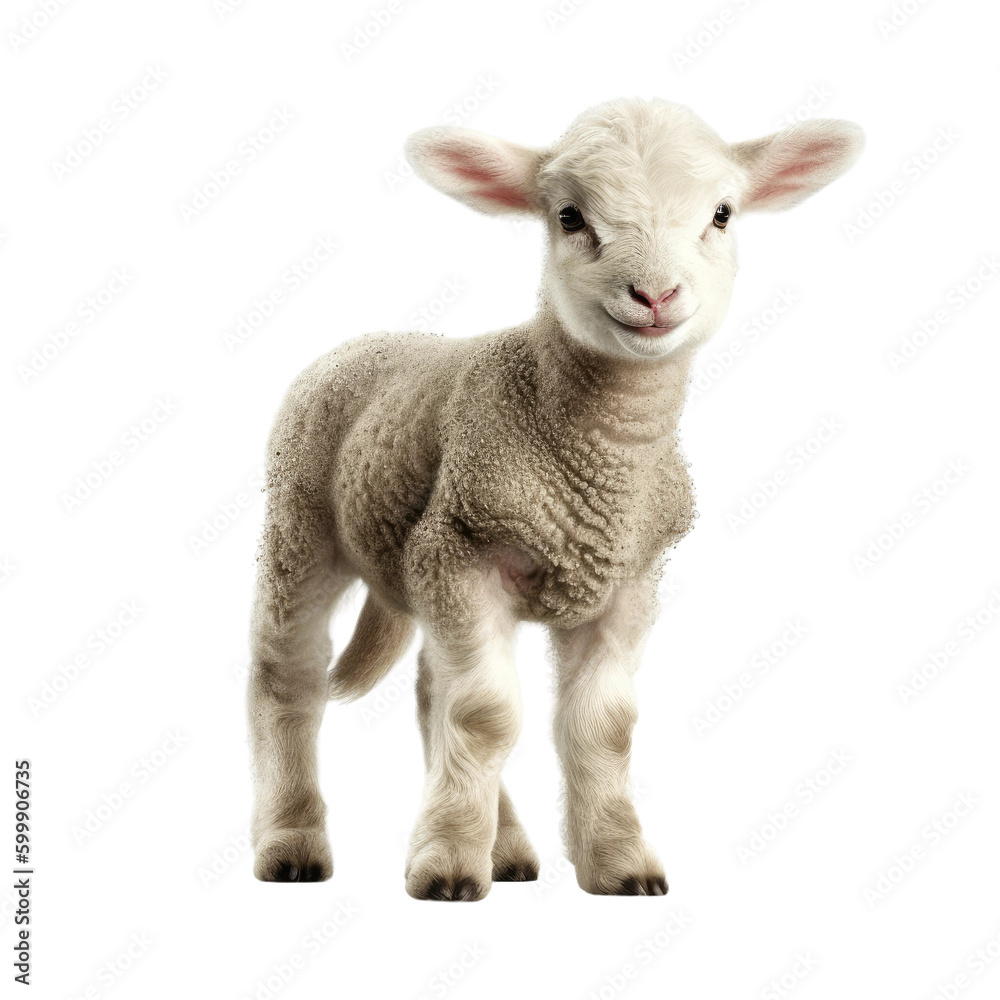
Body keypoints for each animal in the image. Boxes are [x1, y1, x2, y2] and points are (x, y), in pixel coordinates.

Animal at [247, 97, 863, 899]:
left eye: (722, 214)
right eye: (570, 217)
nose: (656, 295)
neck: (598, 457)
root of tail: (368, 339)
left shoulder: (627, 585)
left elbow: (601, 725)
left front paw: (619, 864)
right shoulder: (461, 549)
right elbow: (485, 715)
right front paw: (447, 865)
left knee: (429, 690)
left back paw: (504, 847)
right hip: (300, 523)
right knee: (287, 676)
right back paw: (292, 844)